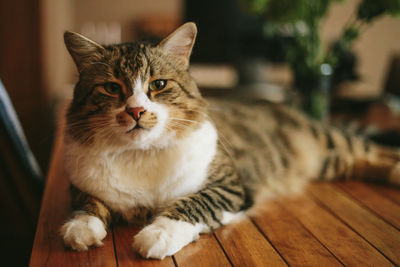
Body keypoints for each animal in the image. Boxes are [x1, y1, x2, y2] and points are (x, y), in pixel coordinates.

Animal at [59, 22, 400, 260]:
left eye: (158, 85)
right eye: (112, 88)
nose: (136, 111)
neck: (140, 154)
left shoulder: (229, 186)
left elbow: (191, 204)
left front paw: (157, 234)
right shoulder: (81, 185)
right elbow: (87, 204)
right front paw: (80, 229)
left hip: (333, 142)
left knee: (377, 151)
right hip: (332, 162)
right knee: (366, 161)